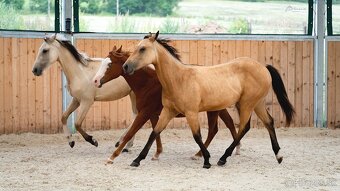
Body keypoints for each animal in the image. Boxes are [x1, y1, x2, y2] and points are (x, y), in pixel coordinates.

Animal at [91, 45, 240, 163]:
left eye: (109, 64)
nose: (96, 81)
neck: (147, 84)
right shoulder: (153, 114)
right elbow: (156, 131)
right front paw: (157, 154)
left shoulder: (144, 113)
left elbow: (131, 133)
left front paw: (112, 157)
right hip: (218, 109)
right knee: (226, 124)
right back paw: (234, 149)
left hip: (213, 110)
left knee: (215, 130)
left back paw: (202, 155)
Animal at [123, 31, 294, 169]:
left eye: (142, 49)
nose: (125, 67)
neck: (179, 79)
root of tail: (264, 68)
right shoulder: (168, 111)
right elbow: (154, 133)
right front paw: (137, 160)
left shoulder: (191, 112)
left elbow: (197, 136)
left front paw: (206, 160)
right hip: (257, 103)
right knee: (269, 122)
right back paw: (278, 156)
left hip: (246, 104)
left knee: (244, 128)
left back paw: (223, 158)